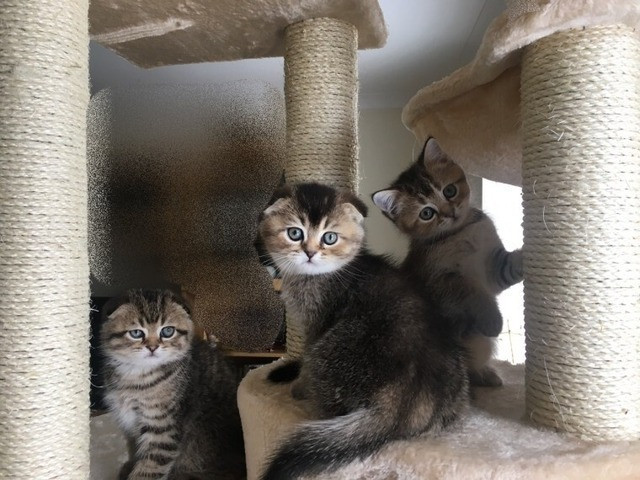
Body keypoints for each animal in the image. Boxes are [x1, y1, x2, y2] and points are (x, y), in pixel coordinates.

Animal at [101, 288, 246, 480]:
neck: (137, 375)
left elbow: (150, 467)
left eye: (167, 331)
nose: (152, 347)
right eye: (136, 333)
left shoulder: (163, 427)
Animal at [255, 183, 470, 480]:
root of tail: (403, 400)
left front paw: (298, 384)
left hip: (330, 348)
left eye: (329, 238)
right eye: (295, 233)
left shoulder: (317, 325)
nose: (310, 253)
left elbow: (306, 359)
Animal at [372, 138, 524, 386]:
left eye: (449, 191)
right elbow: (473, 292)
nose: (450, 213)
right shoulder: (440, 281)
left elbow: (509, 267)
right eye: (426, 213)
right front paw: (493, 320)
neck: (461, 232)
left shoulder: (493, 271)